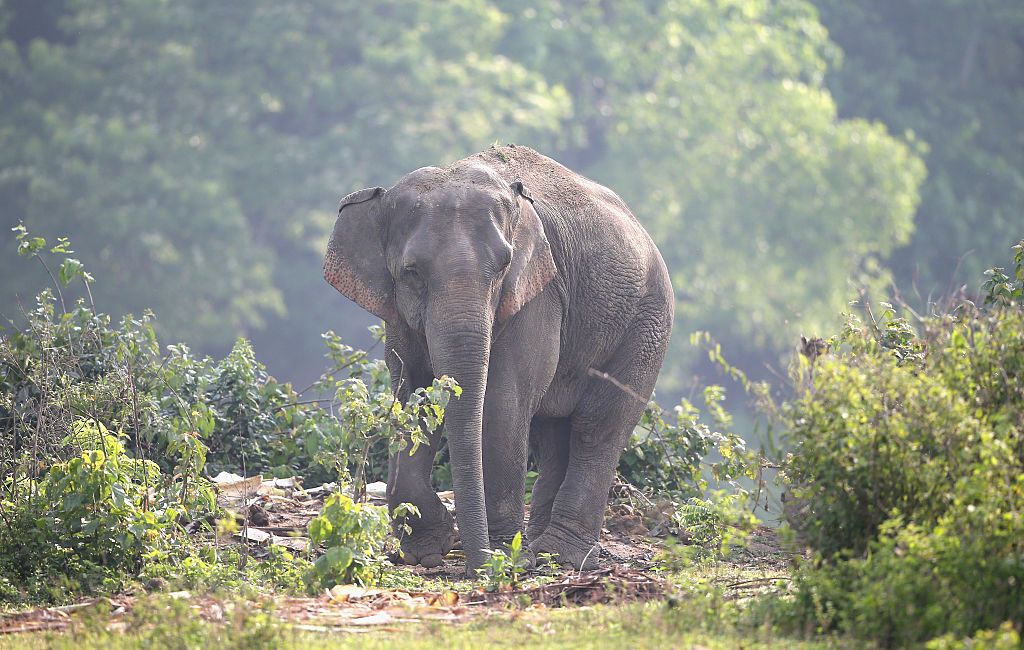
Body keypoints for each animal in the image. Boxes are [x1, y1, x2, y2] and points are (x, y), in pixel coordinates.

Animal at [321, 145, 671, 573]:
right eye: (412, 272)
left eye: (503, 267)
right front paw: (426, 551)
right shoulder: (398, 315)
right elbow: (412, 393)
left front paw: (502, 554)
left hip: (646, 327)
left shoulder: (538, 294)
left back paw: (558, 555)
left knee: (597, 428)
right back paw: (540, 548)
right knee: (552, 435)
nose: (477, 566)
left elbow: (503, 401)